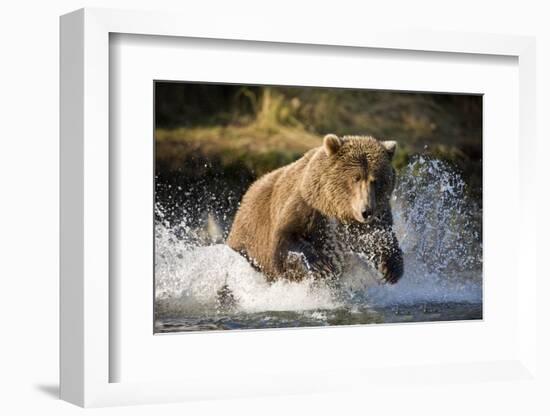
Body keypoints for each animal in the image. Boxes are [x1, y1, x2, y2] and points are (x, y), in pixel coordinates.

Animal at [227, 135, 406, 284]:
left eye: (376, 180)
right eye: (356, 178)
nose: (366, 211)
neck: (336, 209)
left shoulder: (377, 217)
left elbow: (382, 238)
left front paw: (390, 269)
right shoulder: (308, 205)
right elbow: (285, 239)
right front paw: (321, 265)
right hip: (248, 236)